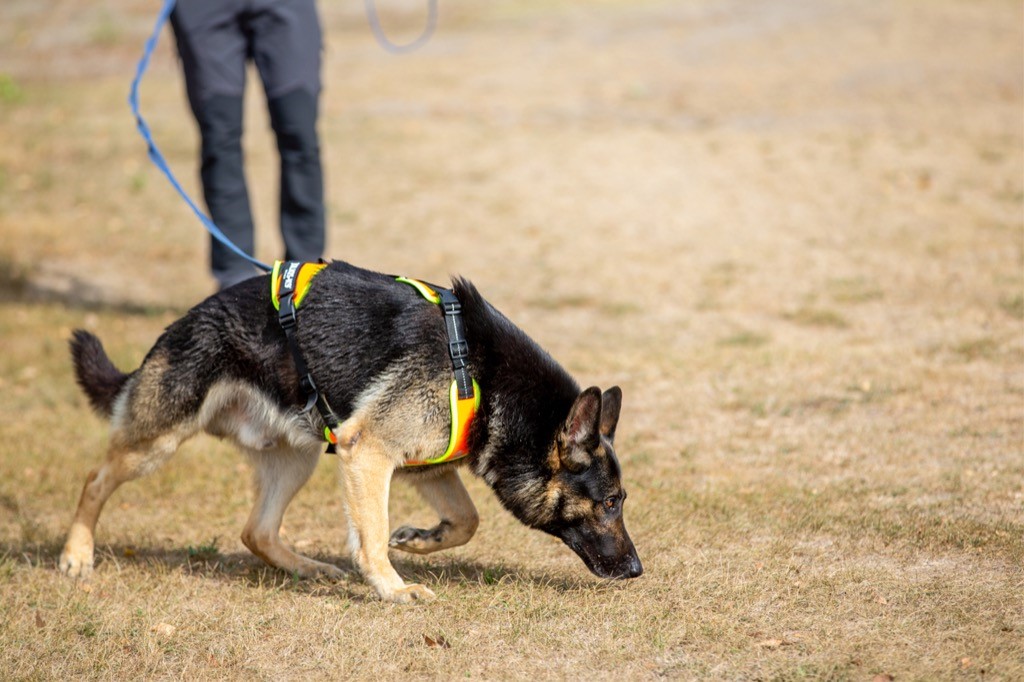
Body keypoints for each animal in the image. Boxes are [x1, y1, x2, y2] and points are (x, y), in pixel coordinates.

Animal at [59, 260, 638, 602]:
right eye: (611, 502)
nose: (636, 570)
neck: (482, 371)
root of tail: (183, 322)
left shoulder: (424, 465)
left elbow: (467, 520)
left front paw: (421, 540)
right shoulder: (369, 454)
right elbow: (373, 536)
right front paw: (393, 589)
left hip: (298, 456)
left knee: (256, 531)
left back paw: (308, 569)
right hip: (159, 441)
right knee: (93, 479)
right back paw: (76, 555)